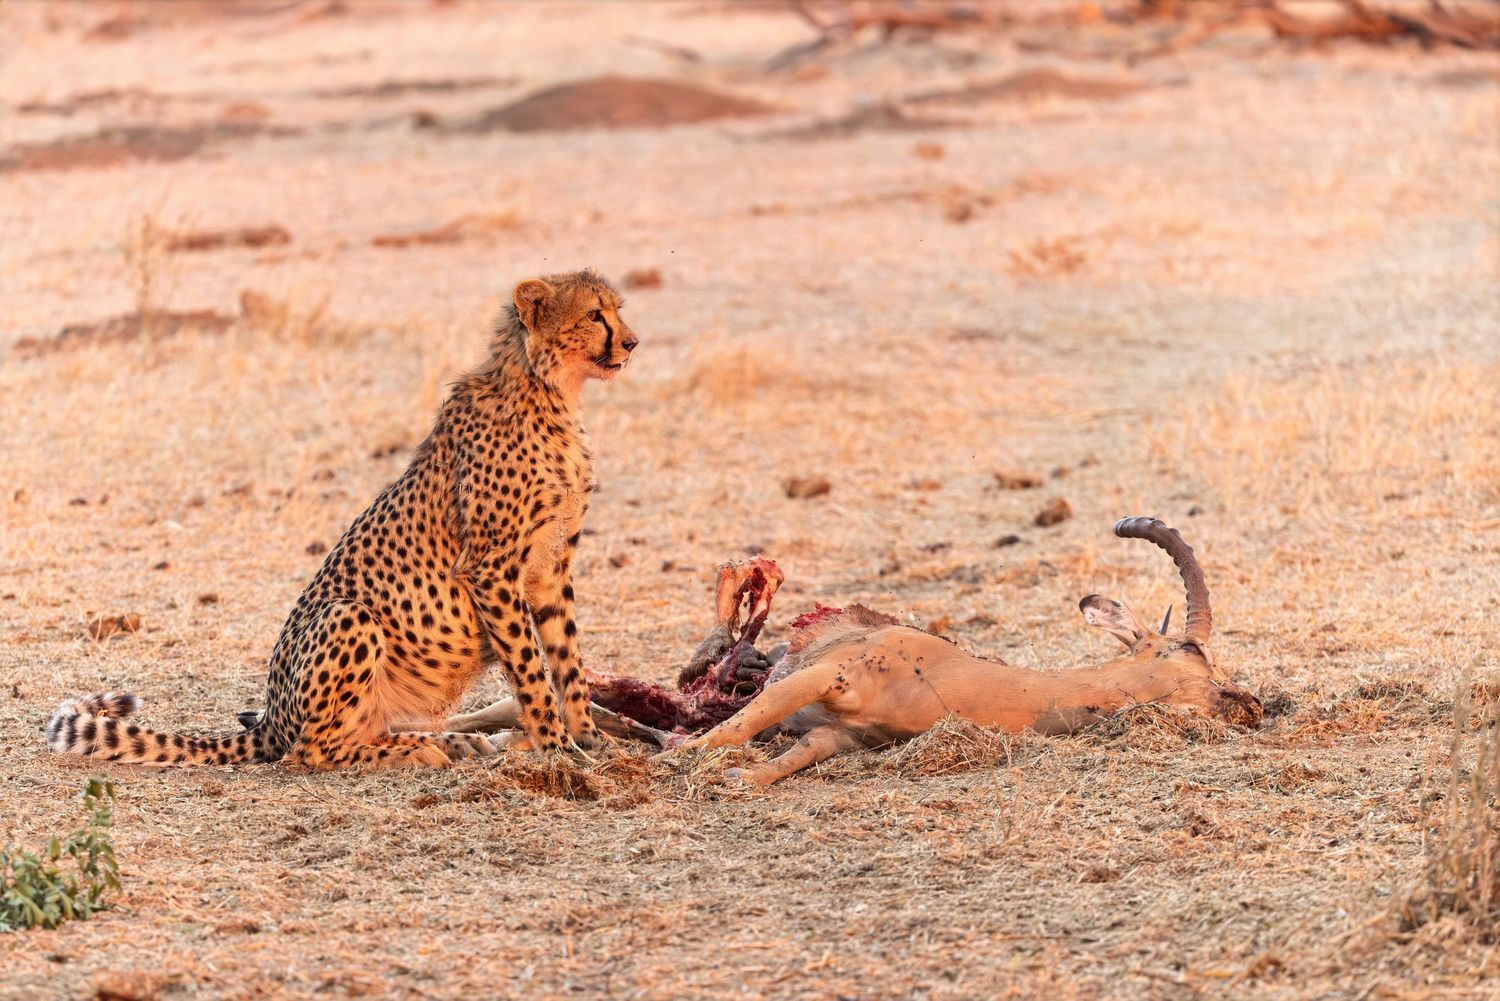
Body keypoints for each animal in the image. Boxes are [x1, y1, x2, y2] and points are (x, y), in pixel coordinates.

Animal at [47, 268, 637, 768]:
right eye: (593, 315)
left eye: (616, 310)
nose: (631, 342)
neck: (551, 392)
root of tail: (271, 718)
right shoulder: (492, 568)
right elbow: (533, 667)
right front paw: (558, 746)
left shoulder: (551, 567)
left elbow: (567, 658)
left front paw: (590, 738)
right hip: (348, 616)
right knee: (310, 752)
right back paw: (417, 750)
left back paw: (454, 740)